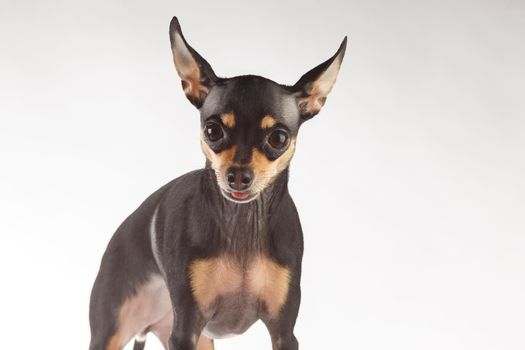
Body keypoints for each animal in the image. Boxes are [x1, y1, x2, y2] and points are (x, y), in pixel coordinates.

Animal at [88, 16, 346, 350]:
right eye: (213, 131)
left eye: (278, 138)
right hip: (113, 331)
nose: (238, 175)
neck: (242, 227)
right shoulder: (185, 331)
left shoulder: (284, 333)